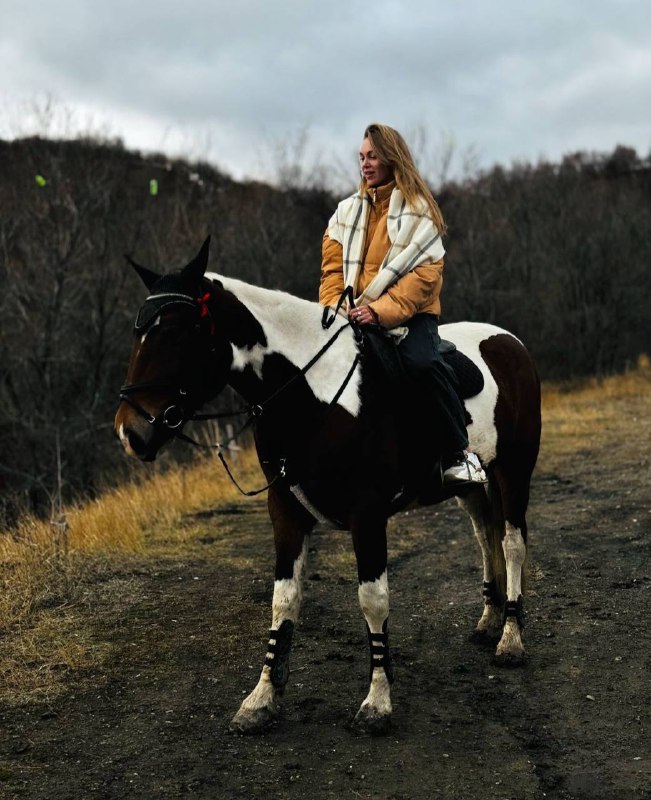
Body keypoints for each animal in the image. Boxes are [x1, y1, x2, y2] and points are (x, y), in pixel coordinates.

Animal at [116, 241, 540, 736]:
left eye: (177, 332)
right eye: (139, 332)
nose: (131, 433)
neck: (311, 394)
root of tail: (509, 342)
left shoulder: (367, 515)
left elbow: (373, 600)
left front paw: (378, 701)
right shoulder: (285, 510)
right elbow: (284, 601)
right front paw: (261, 699)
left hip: (513, 471)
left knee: (511, 542)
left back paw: (510, 638)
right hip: (472, 488)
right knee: (485, 537)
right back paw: (489, 620)